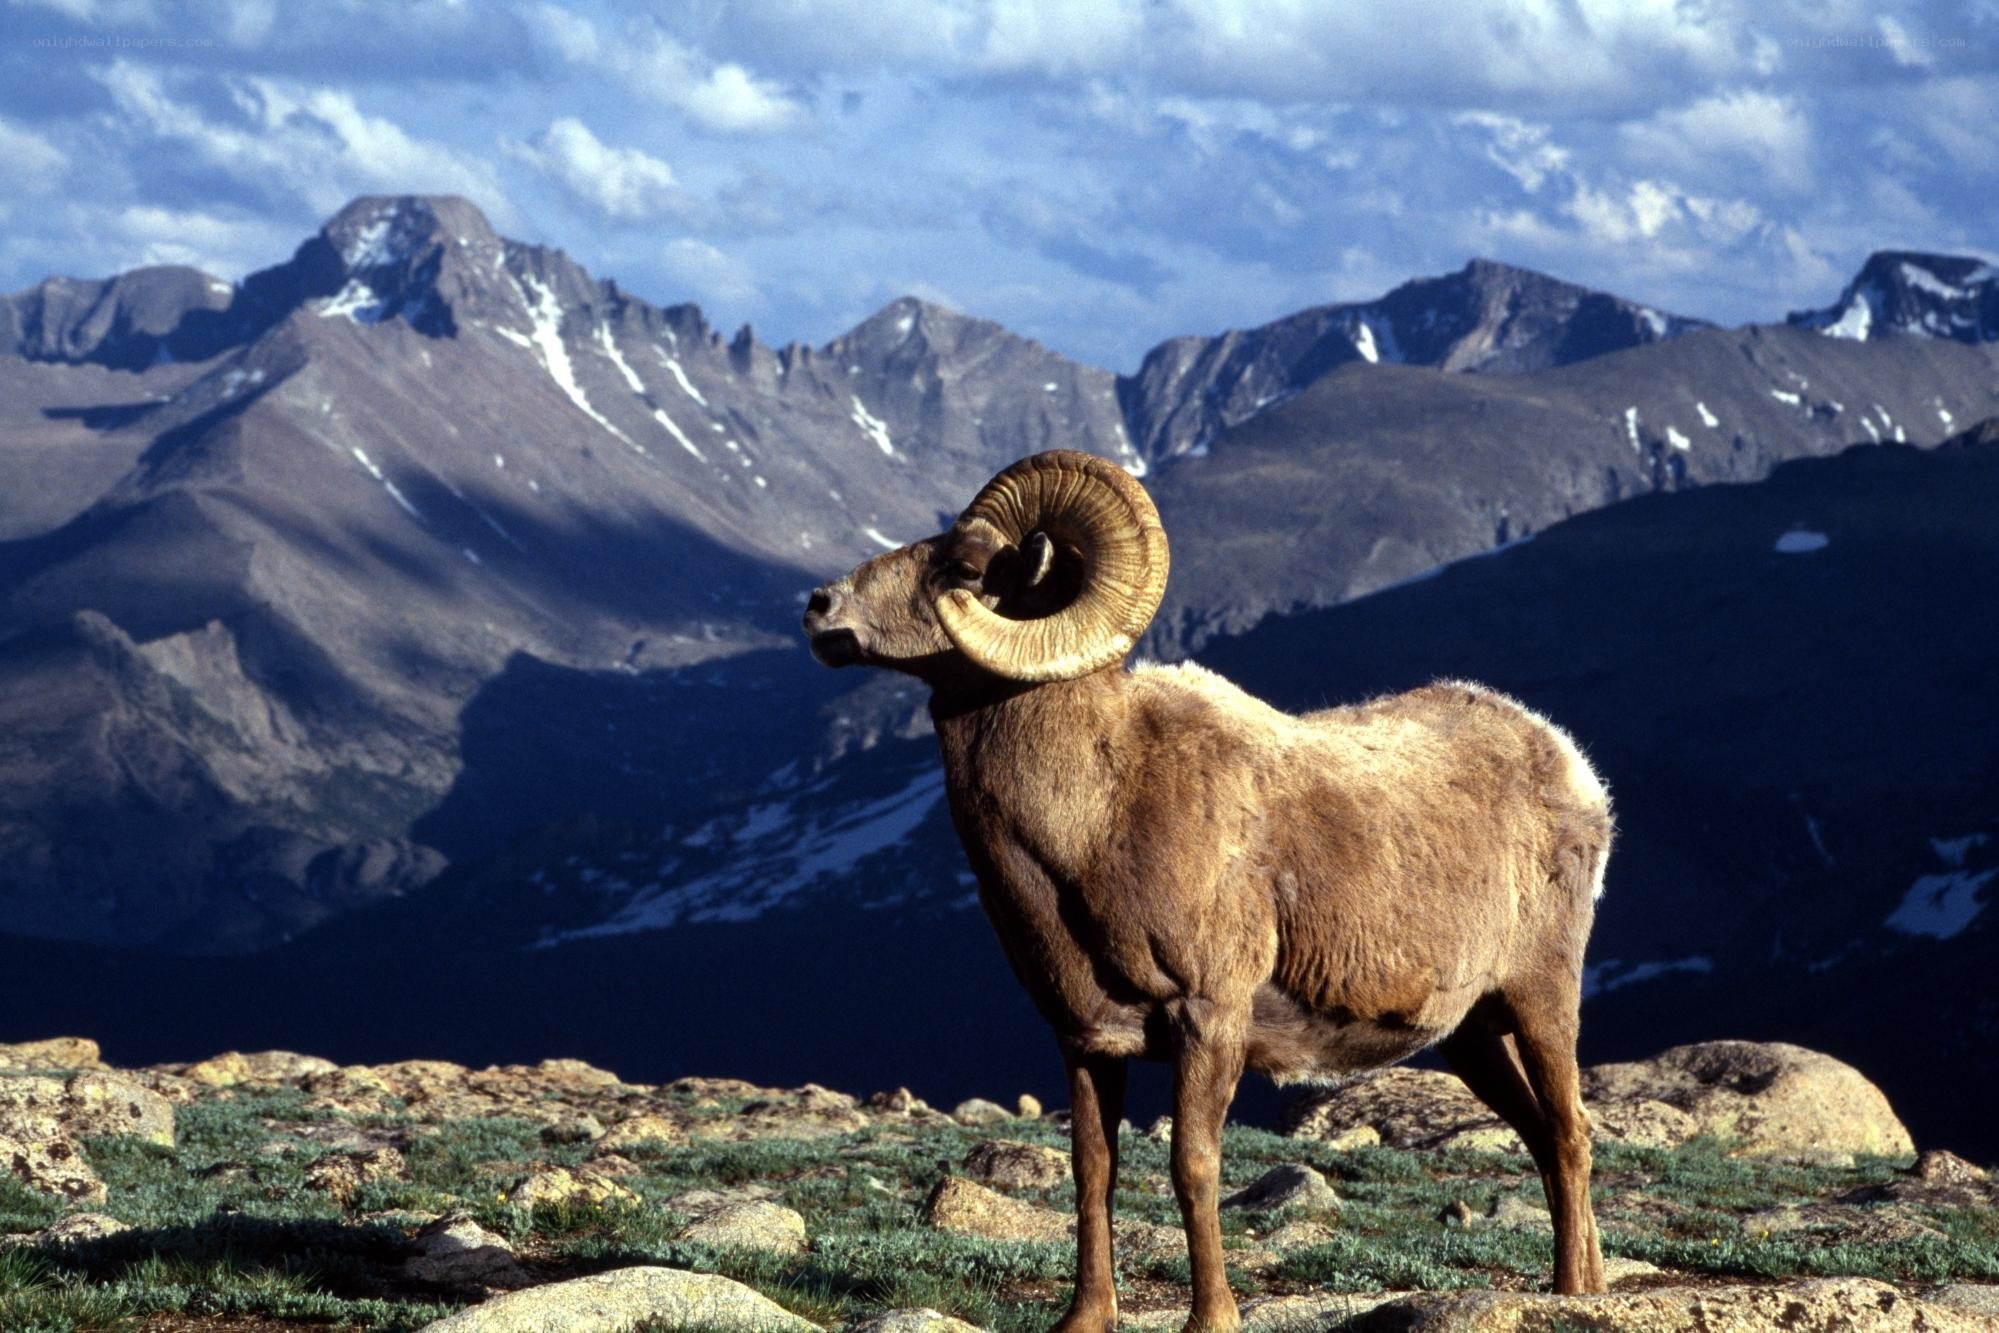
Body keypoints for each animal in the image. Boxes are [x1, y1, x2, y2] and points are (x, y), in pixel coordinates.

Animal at [802, 450, 1613, 1331]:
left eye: (962, 563)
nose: (819, 608)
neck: (1097, 815)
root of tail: (1569, 766)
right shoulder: (1085, 1040)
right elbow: (1092, 1171)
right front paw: (1086, 1317)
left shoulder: (1208, 1018)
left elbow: (1193, 1165)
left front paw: (1212, 1315)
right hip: (1469, 1035)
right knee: (1541, 1134)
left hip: (1538, 997)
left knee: (1569, 1132)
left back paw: (1574, 1291)